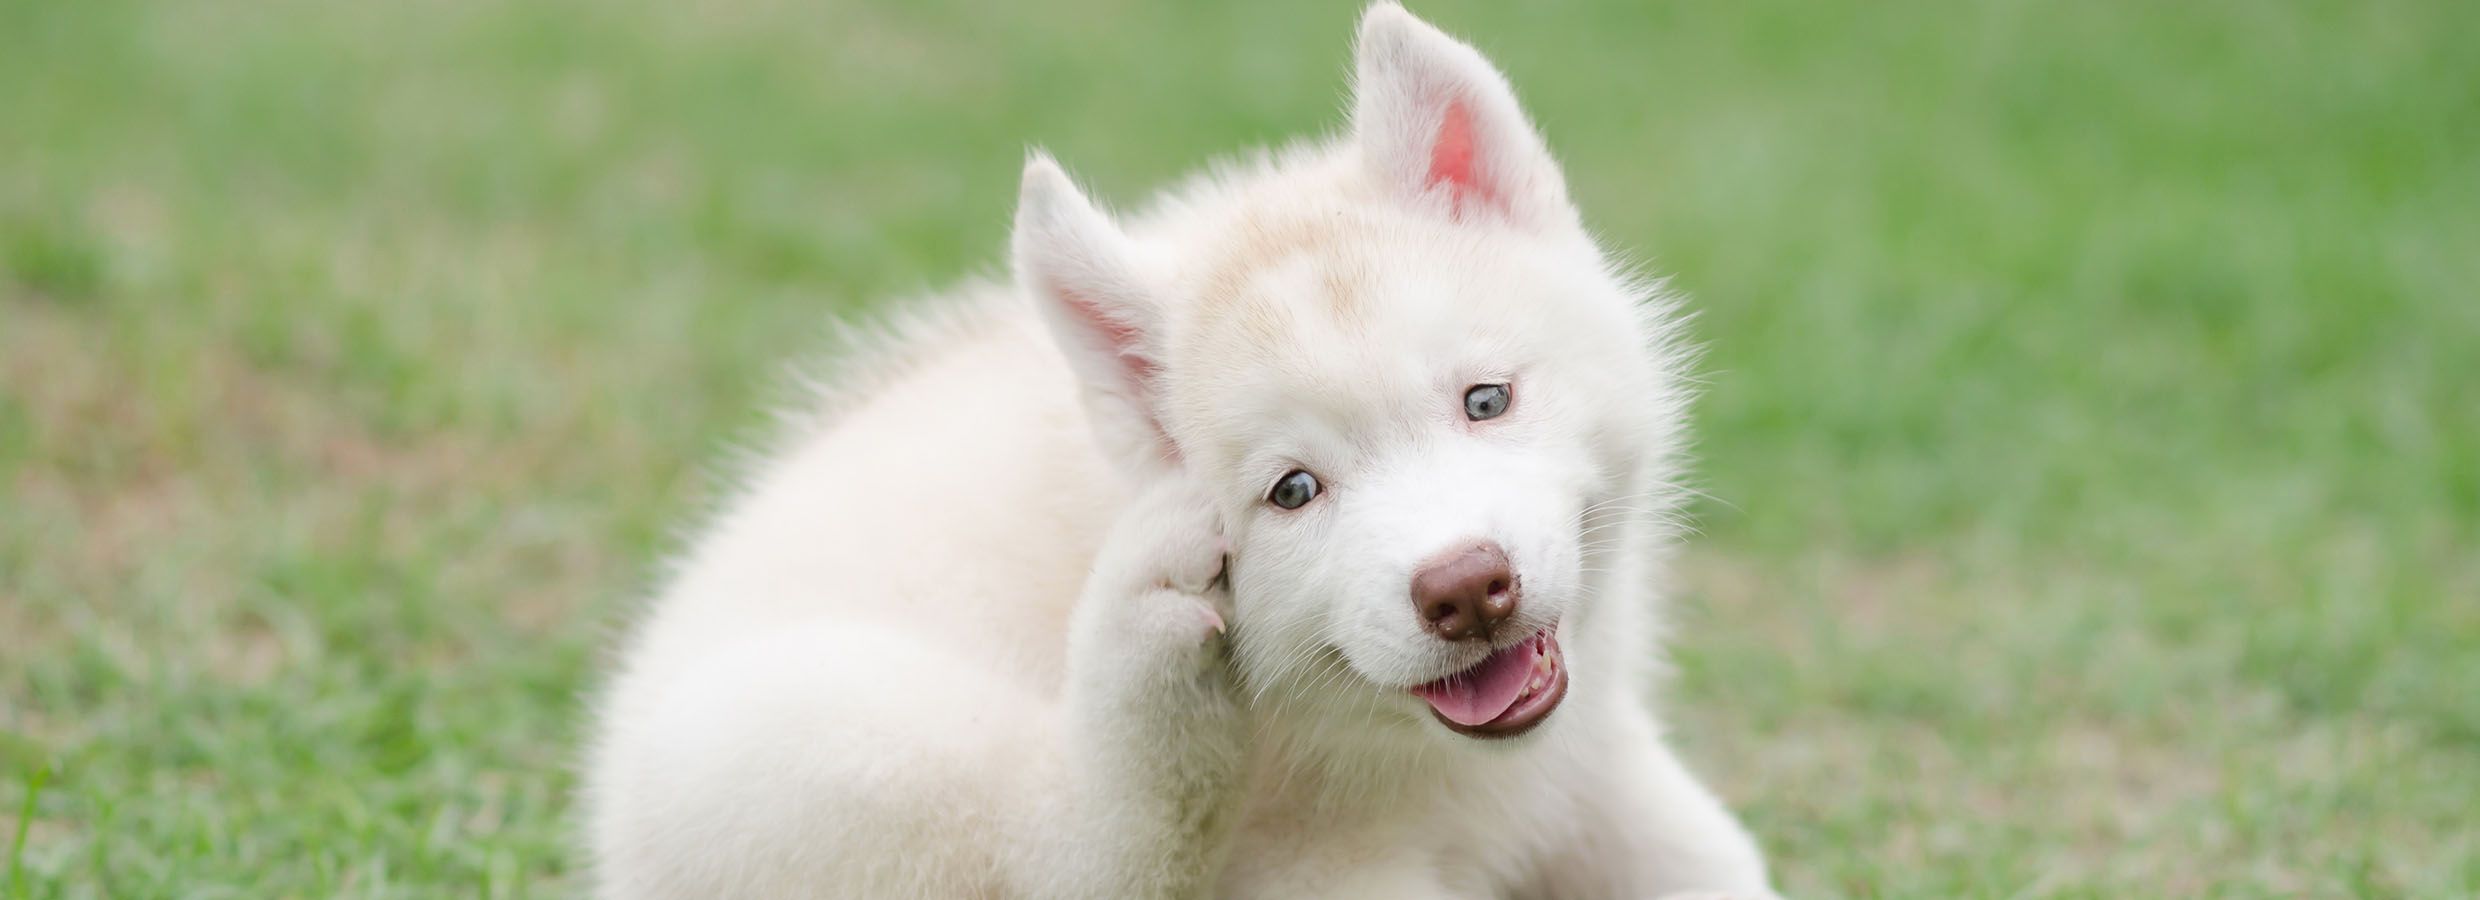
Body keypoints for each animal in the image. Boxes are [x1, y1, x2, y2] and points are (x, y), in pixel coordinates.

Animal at [580, 3, 1785, 897]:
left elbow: (1711, 858)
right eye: (1292, 491)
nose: (1464, 589)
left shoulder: (1598, 771)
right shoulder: (1321, 872)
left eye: (1484, 400)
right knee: (1080, 862)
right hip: (807, 733)